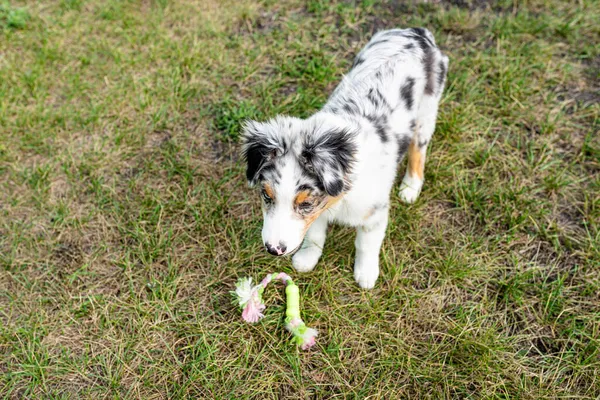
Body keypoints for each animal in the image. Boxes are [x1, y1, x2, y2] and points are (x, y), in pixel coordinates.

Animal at [241, 28, 448, 290]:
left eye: (305, 204)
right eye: (266, 196)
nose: (273, 249)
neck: (339, 200)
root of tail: (416, 32)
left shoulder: (375, 211)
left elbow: (367, 243)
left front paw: (366, 274)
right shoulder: (321, 209)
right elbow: (315, 235)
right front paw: (307, 259)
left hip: (427, 110)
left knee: (418, 151)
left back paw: (410, 187)